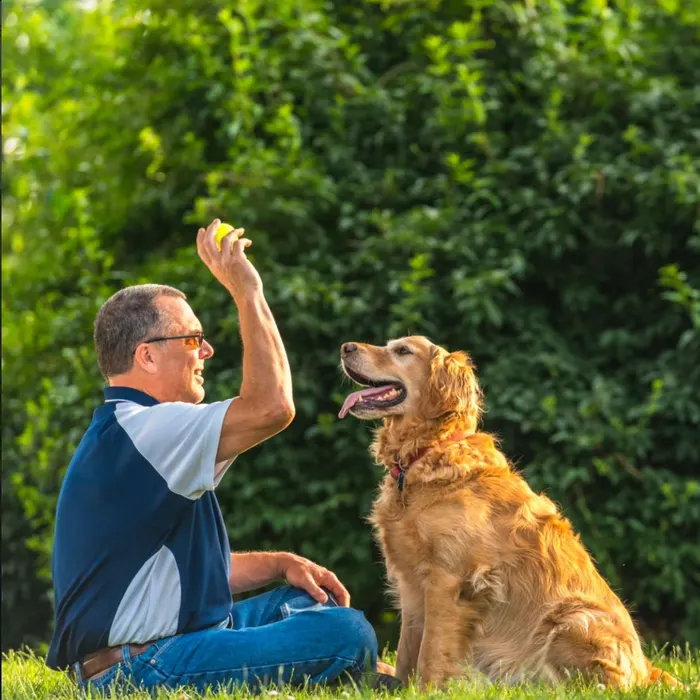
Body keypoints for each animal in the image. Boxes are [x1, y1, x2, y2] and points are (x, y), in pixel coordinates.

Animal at [340, 336, 680, 688]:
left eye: (403, 351)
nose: (346, 347)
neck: (426, 454)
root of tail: (646, 668)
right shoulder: (410, 584)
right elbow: (409, 652)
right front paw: (400, 688)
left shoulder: (447, 579)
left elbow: (431, 653)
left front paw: (427, 690)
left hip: (570, 618)